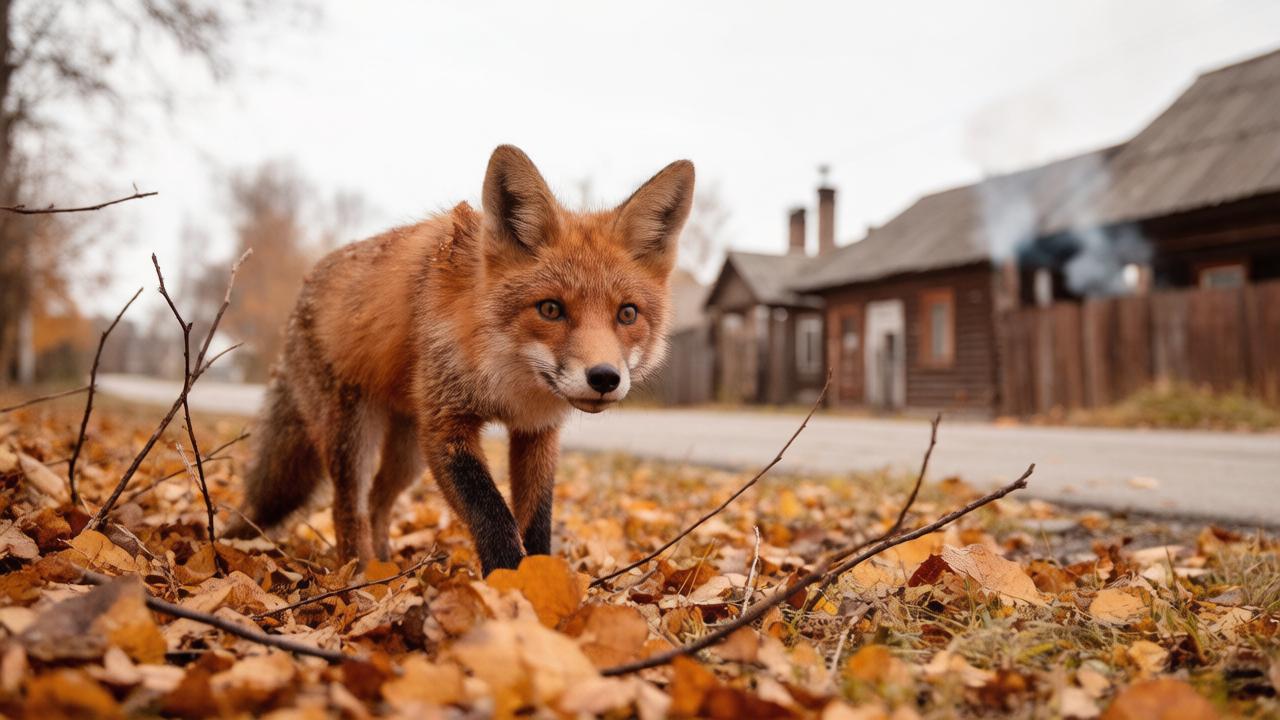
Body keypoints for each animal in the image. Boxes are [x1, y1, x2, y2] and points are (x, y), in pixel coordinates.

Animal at [224, 145, 695, 575]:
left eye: (627, 314)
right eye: (550, 309)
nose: (604, 377)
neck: (509, 382)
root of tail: (300, 295)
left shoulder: (537, 433)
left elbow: (537, 522)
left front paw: (541, 584)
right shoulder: (445, 426)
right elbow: (492, 512)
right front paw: (507, 586)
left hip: (408, 453)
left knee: (377, 501)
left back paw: (384, 568)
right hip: (354, 437)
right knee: (348, 509)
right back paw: (359, 576)